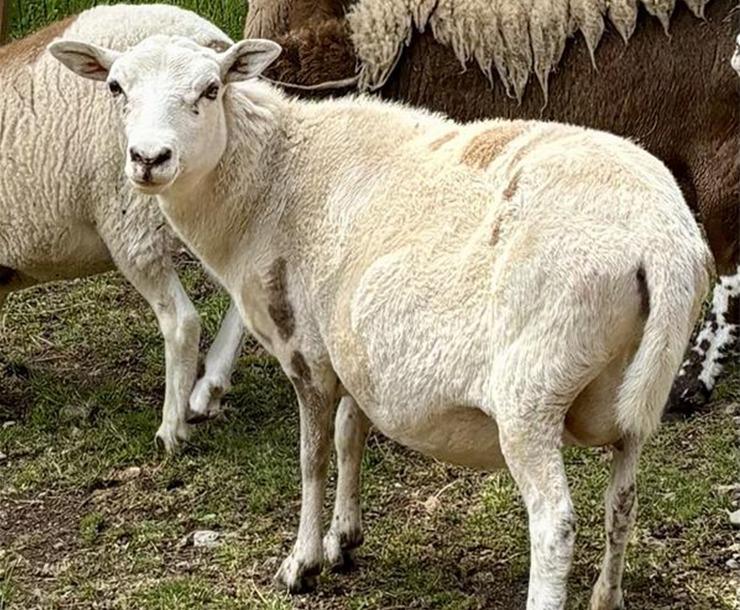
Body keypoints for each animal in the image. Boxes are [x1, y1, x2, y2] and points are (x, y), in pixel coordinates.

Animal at [0, 5, 246, 451]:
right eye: (114, 87)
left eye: (208, 90)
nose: (150, 157)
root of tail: (206, 34)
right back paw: (209, 389)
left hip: (132, 224)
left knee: (181, 321)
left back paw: (172, 428)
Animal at [50, 34, 712, 609]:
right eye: (115, 87)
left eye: (210, 89)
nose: (148, 159)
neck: (268, 182)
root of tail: (662, 241)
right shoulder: (353, 349)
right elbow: (351, 437)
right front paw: (344, 539)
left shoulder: (308, 350)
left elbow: (312, 459)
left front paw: (302, 562)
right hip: (633, 395)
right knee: (623, 499)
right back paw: (607, 596)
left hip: (532, 390)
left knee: (555, 525)